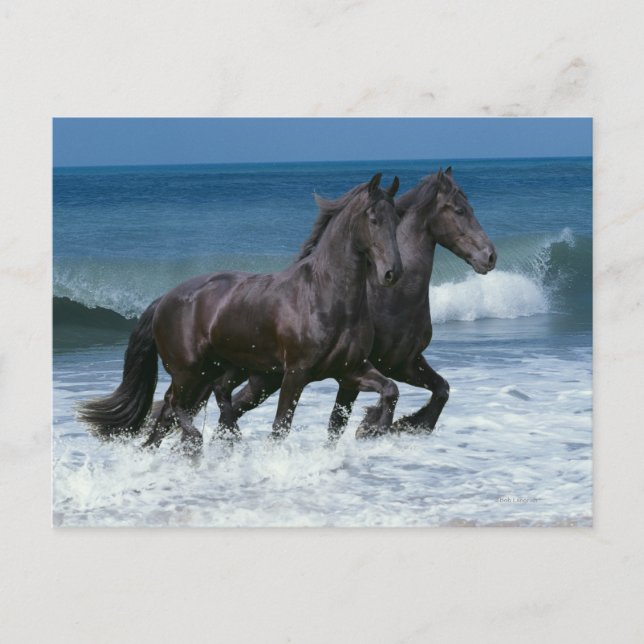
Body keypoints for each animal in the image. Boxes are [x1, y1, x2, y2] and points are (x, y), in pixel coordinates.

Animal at [78, 173, 403, 452]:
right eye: (373, 219)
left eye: (397, 219)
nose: (392, 273)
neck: (326, 298)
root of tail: (164, 299)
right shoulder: (296, 374)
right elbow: (281, 427)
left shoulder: (349, 372)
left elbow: (385, 393)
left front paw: (373, 428)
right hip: (190, 371)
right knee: (174, 403)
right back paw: (197, 442)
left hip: (229, 371)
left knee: (198, 402)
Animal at [221, 167, 497, 440]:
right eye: (459, 210)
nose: (490, 256)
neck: (394, 299)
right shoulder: (354, 376)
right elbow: (337, 424)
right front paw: (371, 426)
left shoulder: (405, 364)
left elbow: (442, 389)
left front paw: (404, 424)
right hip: (265, 378)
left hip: (266, 378)